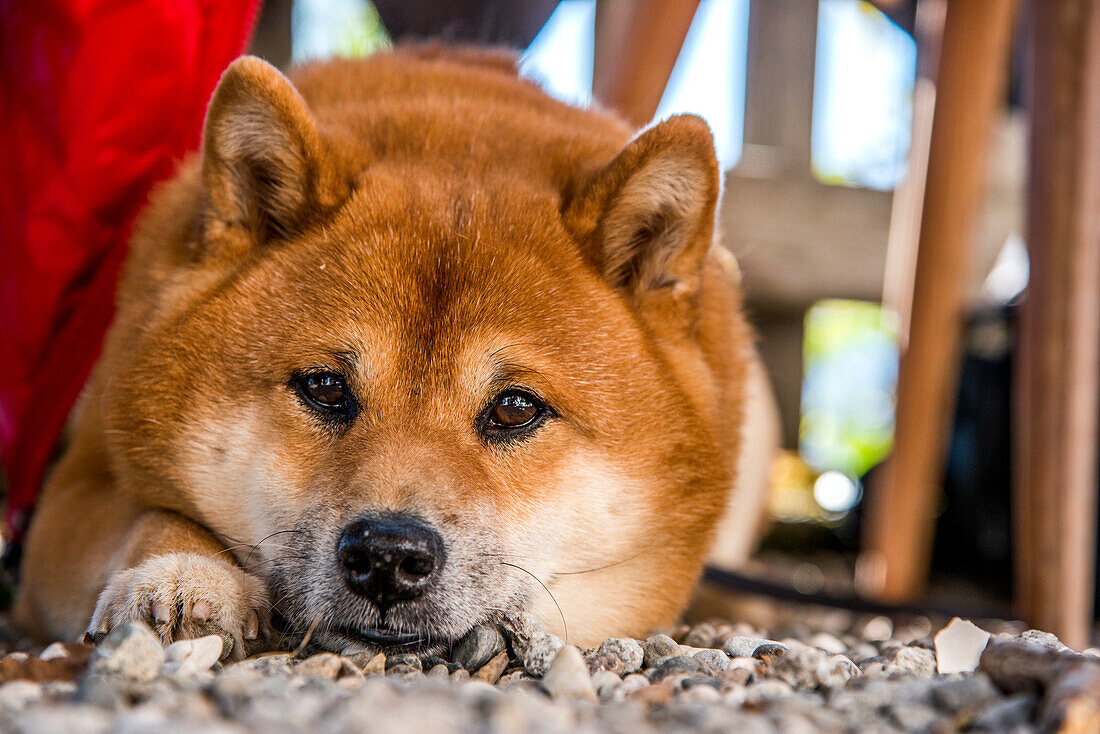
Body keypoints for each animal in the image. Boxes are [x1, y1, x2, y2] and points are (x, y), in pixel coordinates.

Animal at [17, 47, 774, 660]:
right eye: (325, 386)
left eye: (515, 408)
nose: (387, 555)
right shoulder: (74, 485)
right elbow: (150, 514)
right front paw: (181, 569)